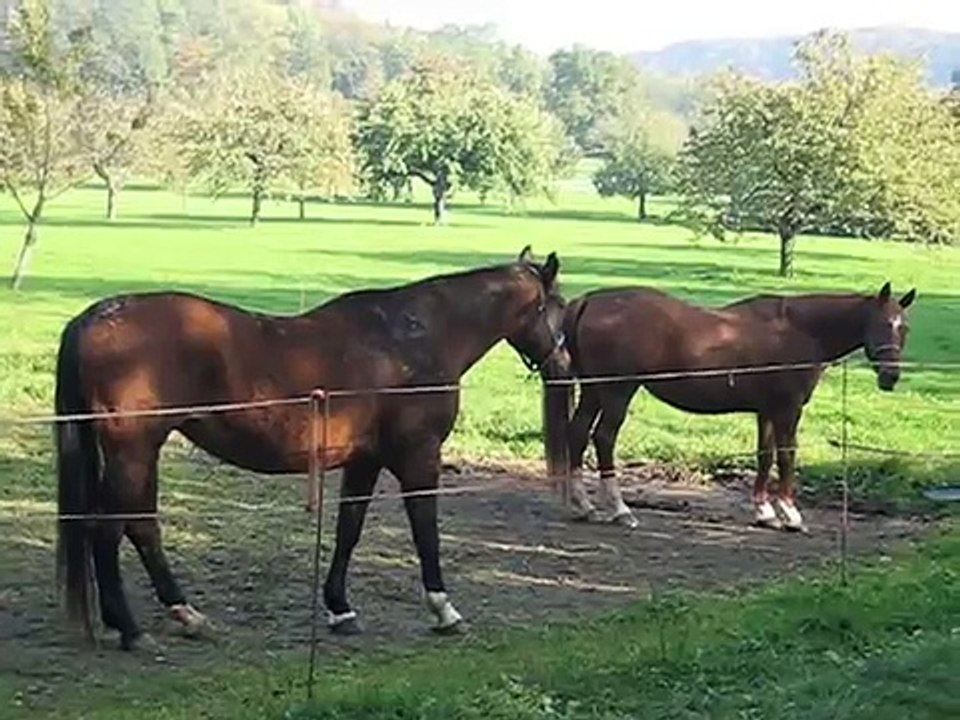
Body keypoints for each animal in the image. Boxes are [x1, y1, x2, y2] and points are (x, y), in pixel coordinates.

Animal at [55, 246, 570, 651]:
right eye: (559, 307)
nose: (564, 362)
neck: (412, 337)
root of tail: (96, 316)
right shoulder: (418, 458)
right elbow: (426, 530)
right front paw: (444, 610)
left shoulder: (366, 461)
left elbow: (349, 530)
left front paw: (340, 609)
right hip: (133, 452)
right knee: (111, 529)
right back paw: (131, 627)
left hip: (141, 453)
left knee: (140, 528)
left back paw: (183, 615)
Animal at [542, 281, 916, 532]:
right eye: (883, 324)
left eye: (905, 328)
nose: (891, 377)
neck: (799, 329)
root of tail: (590, 301)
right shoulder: (788, 410)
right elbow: (787, 456)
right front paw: (791, 515)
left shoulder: (767, 411)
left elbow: (765, 456)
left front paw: (764, 512)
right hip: (618, 391)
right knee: (603, 438)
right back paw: (620, 510)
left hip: (594, 391)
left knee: (578, 434)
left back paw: (585, 506)